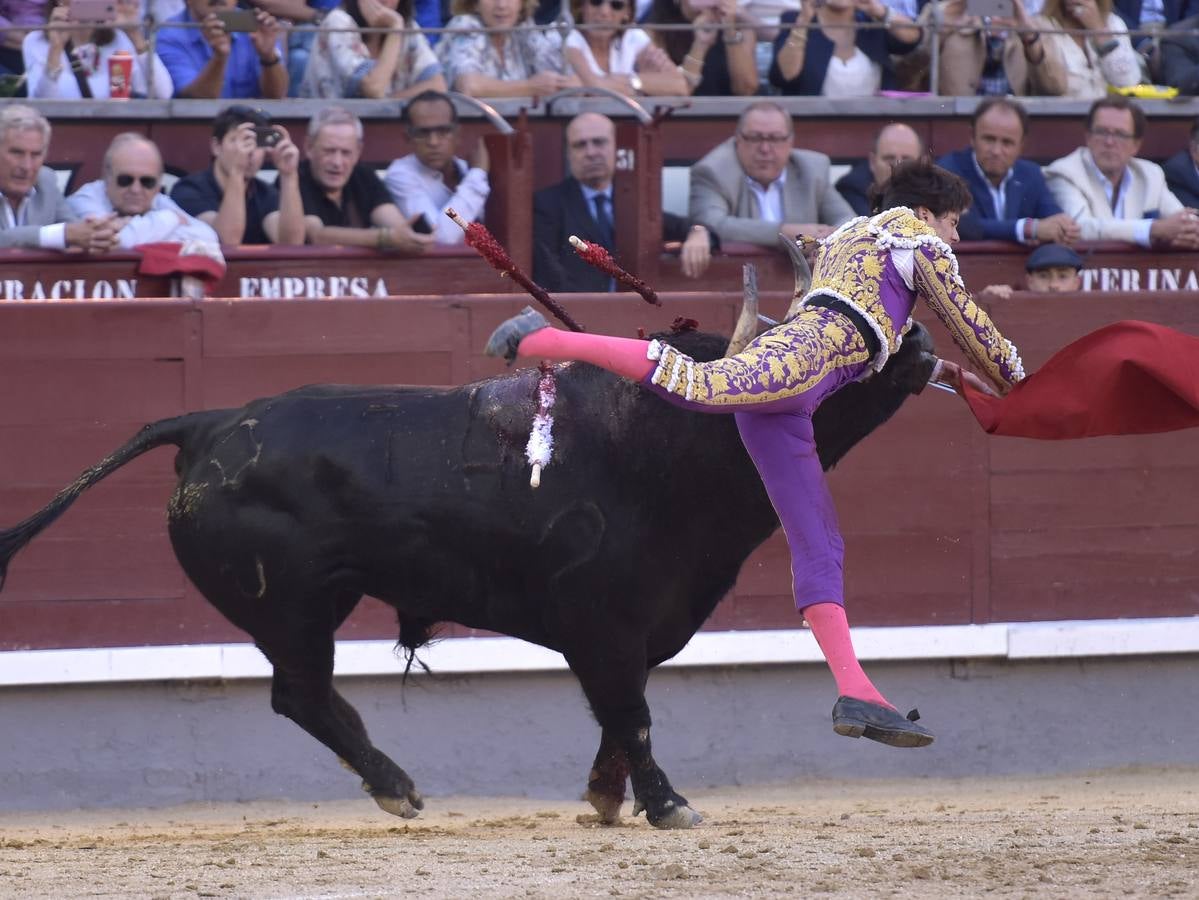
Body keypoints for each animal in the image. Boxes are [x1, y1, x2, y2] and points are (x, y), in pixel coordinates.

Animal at [0, 323, 935, 829]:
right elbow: (631, 715)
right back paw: (396, 789)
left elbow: (618, 714)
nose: (921, 339)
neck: (670, 448)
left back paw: (396, 784)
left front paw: (605, 800)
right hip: (294, 609)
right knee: (301, 695)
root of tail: (208, 420)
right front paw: (667, 804)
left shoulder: (639, 629)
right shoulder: (601, 623)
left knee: (314, 699)